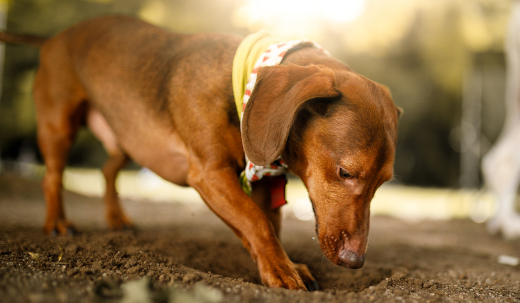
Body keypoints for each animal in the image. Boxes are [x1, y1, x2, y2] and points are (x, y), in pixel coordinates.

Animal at [0, 16, 400, 290]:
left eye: (383, 183)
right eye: (345, 172)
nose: (355, 261)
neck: (243, 83)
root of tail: (55, 37)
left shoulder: (259, 183)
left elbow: (266, 225)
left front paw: (281, 263)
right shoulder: (209, 174)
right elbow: (256, 222)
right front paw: (282, 270)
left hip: (131, 138)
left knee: (108, 170)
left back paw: (117, 219)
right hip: (59, 126)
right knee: (53, 177)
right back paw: (57, 224)